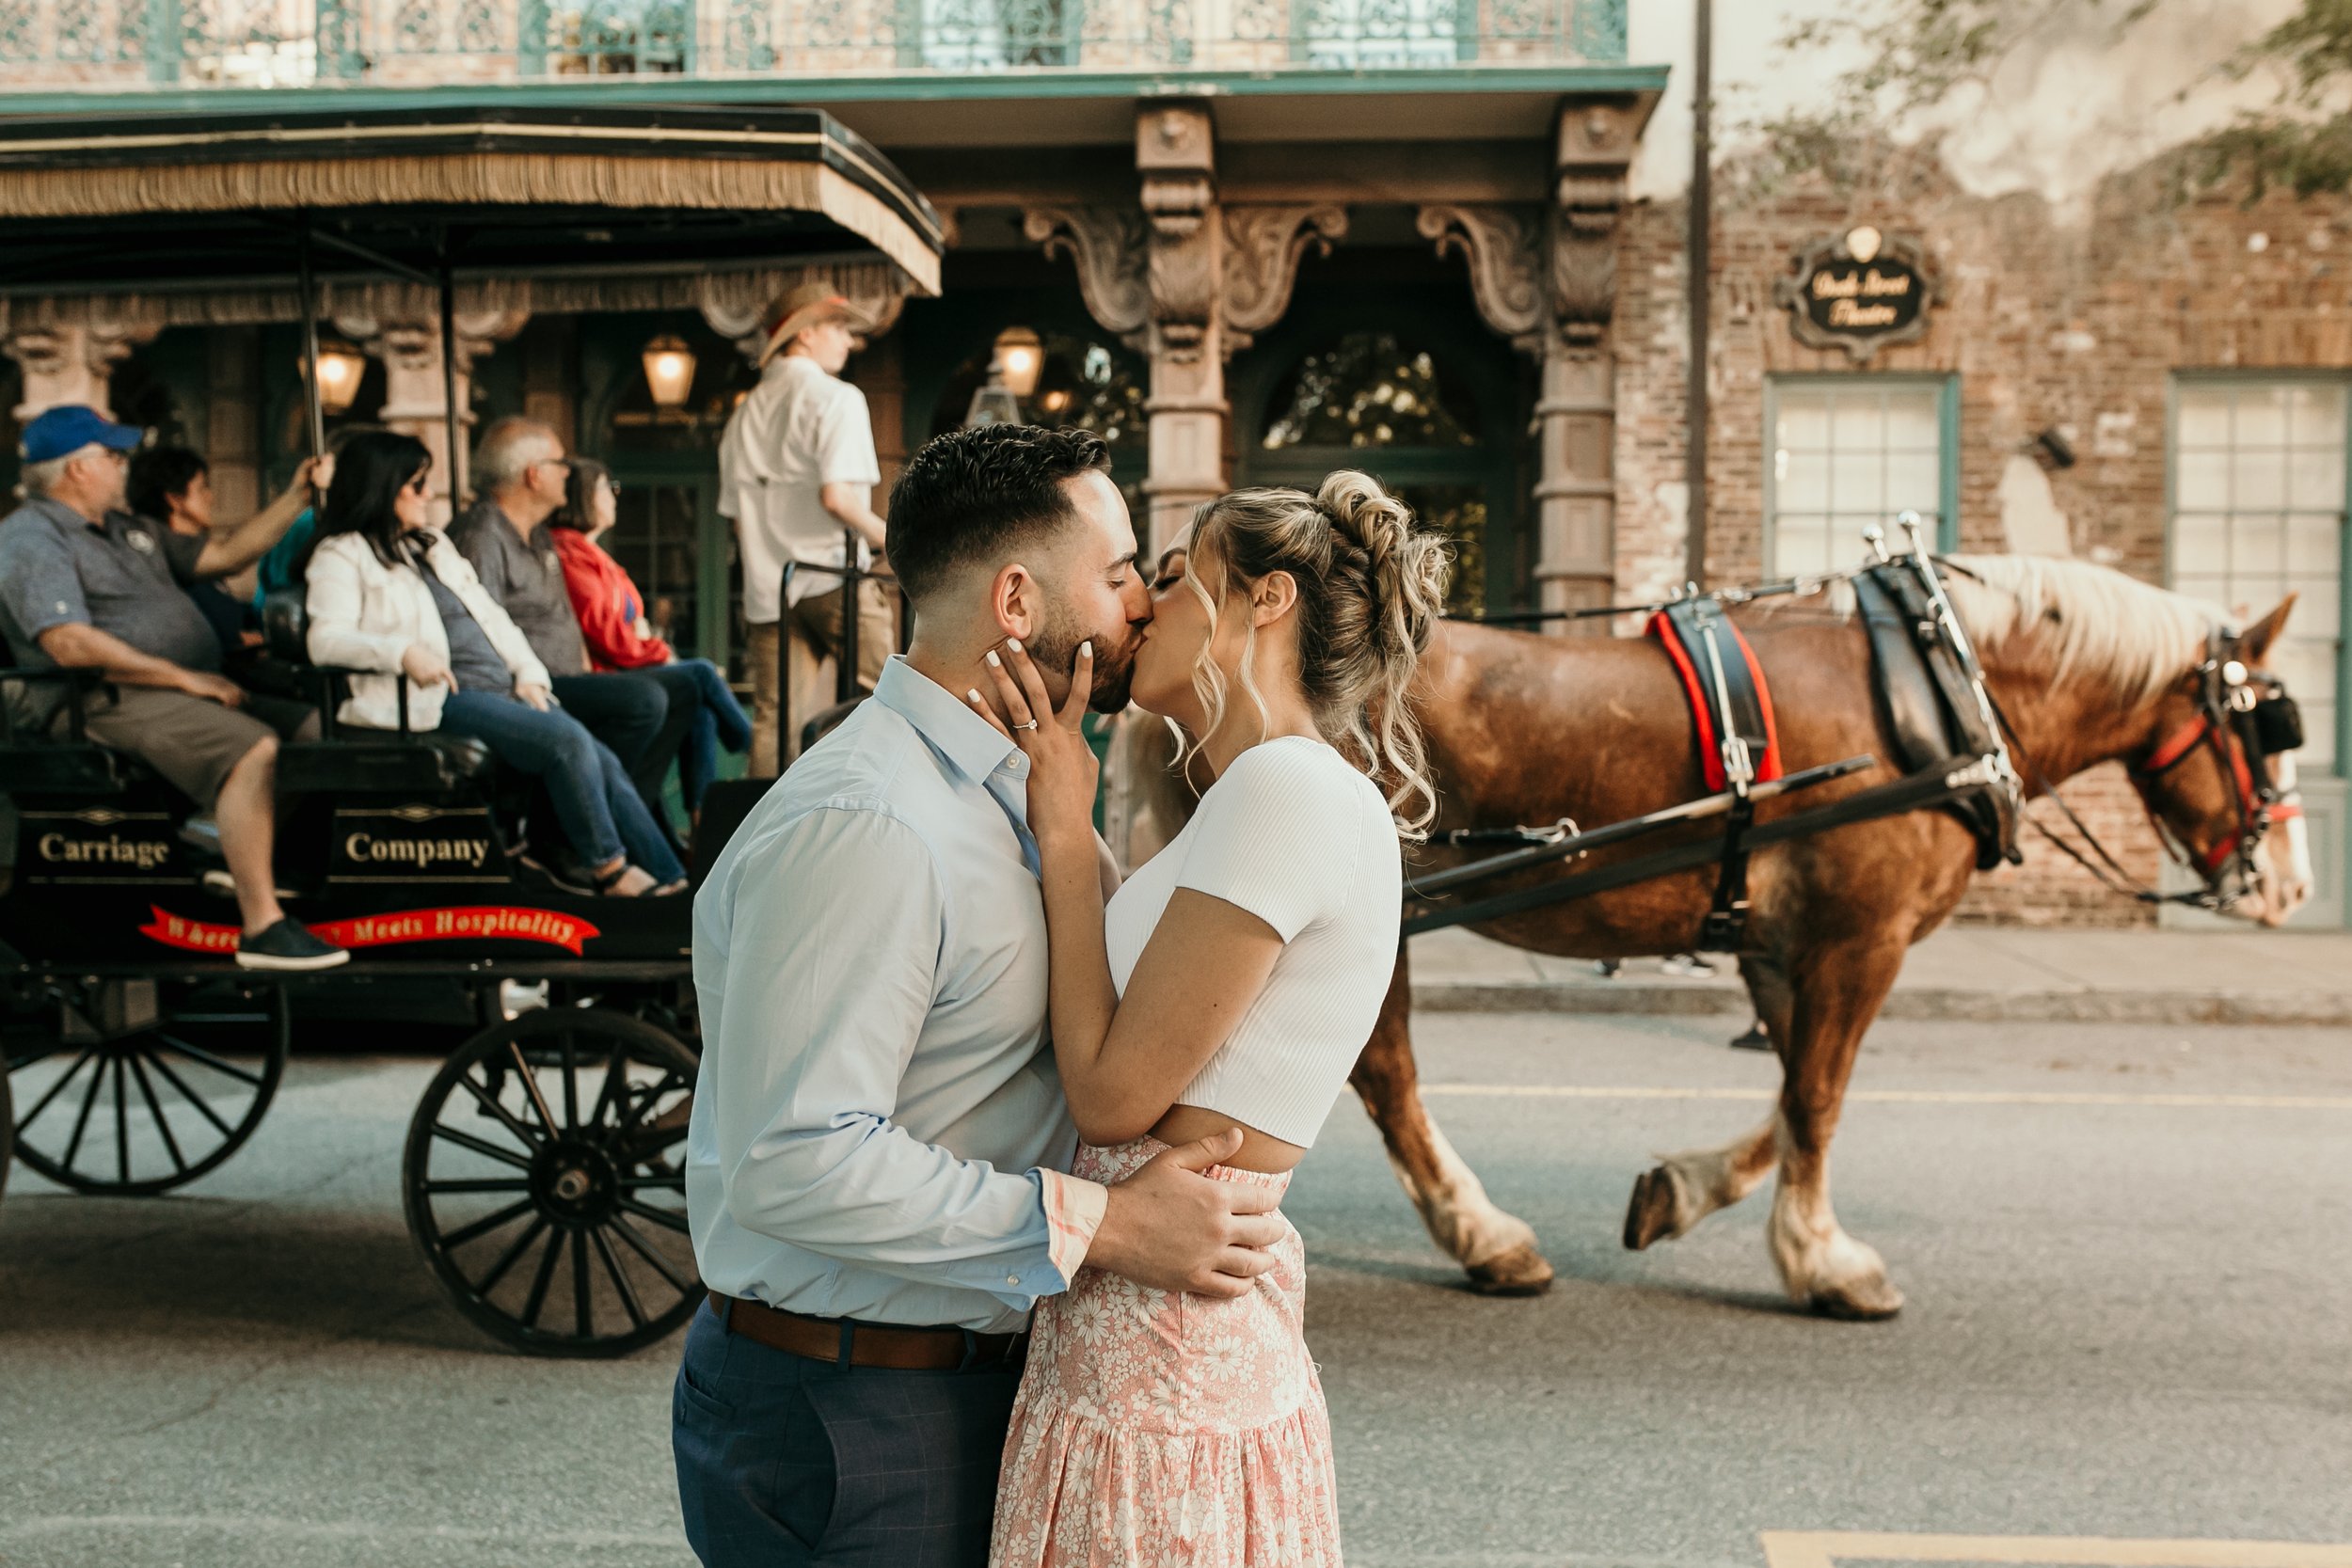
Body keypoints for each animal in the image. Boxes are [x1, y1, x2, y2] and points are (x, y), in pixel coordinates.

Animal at [1110, 552, 2305, 1316]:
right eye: (2268, 721)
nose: (2290, 886)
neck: (1931, 691)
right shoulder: (1860, 937)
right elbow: (1819, 1096)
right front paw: (1824, 1259)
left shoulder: (1786, 944)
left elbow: (1790, 1095)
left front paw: (1676, 1192)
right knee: (1381, 1070)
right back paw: (1483, 1230)